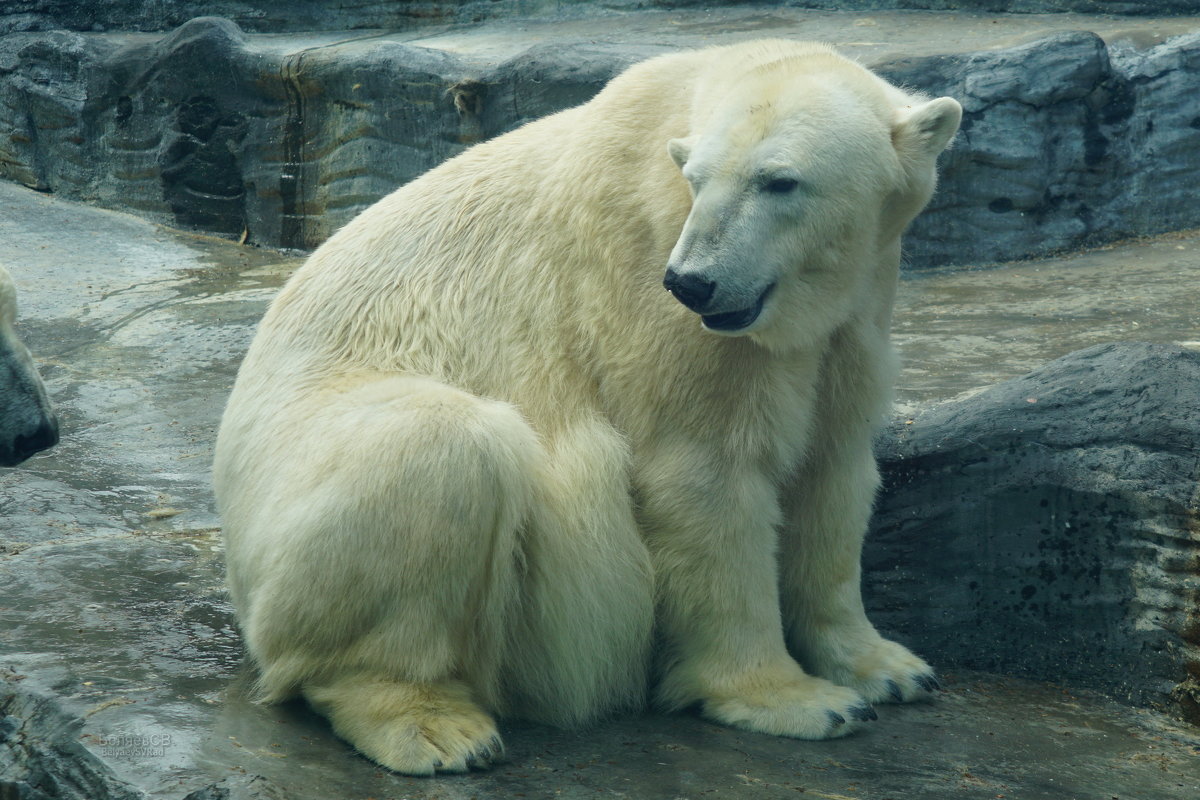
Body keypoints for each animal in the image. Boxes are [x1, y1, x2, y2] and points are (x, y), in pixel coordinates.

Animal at [216, 38, 960, 777]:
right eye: (697, 179)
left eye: (780, 181)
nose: (692, 282)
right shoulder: (651, 291)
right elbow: (707, 475)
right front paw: (794, 699)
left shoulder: (853, 317)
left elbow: (832, 473)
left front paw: (889, 667)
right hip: (293, 486)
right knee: (440, 450)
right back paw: (430, 724)